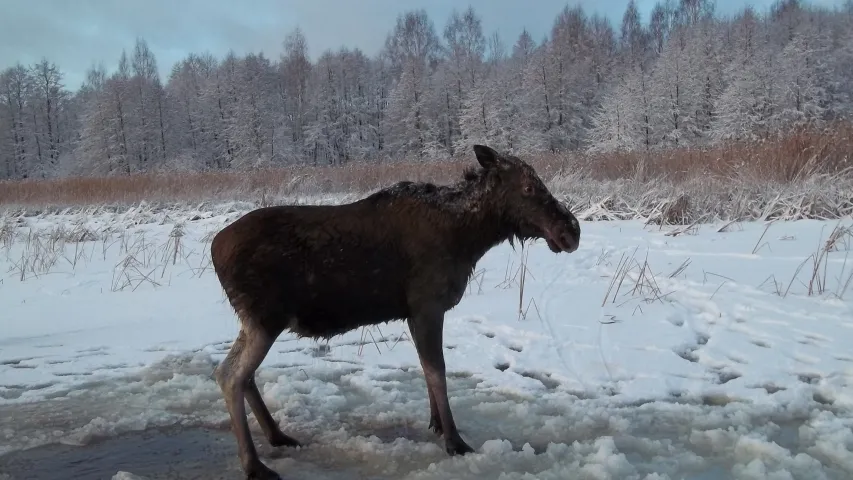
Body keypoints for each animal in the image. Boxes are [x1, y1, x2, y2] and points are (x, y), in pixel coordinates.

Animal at [209, 144, 580, 478]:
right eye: (529, 187)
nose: (571, 231)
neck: (469, 240)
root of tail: (214, 248)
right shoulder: (428, 304)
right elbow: (438, 371)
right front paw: (455, 441)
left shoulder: (413, 312)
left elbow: (426, 369)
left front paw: (435, 424)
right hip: (265, 318)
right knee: (230, 375)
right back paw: (254, 464)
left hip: (255, 321)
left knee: (241, 374)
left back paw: (277, 435)